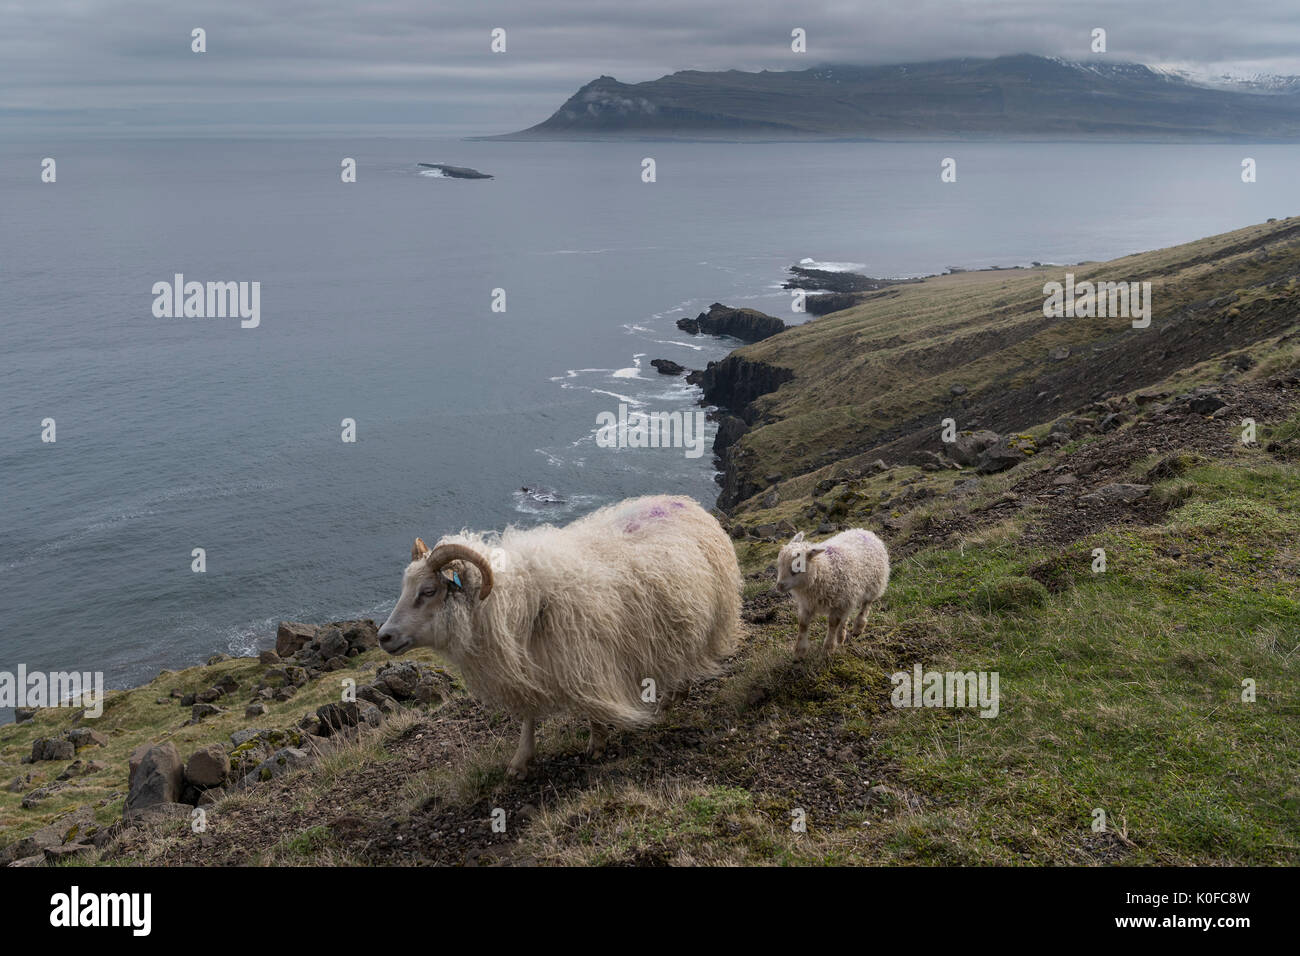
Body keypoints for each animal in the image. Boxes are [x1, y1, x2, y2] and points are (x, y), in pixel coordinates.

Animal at [377, 494, 743, 780]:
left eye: (428, 591)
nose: (383, 636)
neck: (512, 601)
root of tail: (689, 504)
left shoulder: (588, 657)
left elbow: (594, 704)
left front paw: (597, 744)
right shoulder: (529, 666)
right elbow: (528, 717)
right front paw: (521, 761)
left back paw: (671, 699)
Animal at [774, 530, 889, 658]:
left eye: (796, 569)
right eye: (779, 566)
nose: (779, 586)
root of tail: (864, 531)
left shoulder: (838, 604)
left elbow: (833, 624)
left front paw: (828, 649)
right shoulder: (808, 604)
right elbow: (803, 624)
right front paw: (799, 652)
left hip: (873, 586)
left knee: (865, 606)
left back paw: (858, 627)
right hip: (848, 596)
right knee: (845, 616)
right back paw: (841, 636)